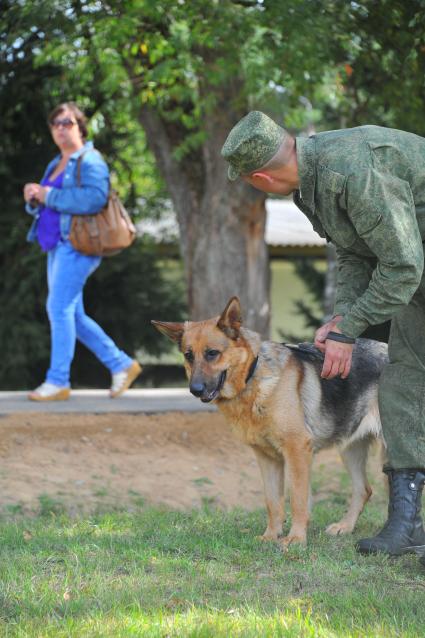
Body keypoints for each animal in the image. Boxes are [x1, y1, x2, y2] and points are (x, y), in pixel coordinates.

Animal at [152, 298, 388, 548]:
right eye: (188, 355)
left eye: (212, 353)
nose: (194, 390)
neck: (253, 376)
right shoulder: (267, 458)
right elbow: (273, 502)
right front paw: (271, 536)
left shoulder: (297, 451)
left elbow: (297, 499)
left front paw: (296, 538)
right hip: (350, 448)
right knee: (364, 489)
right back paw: (345, 527)